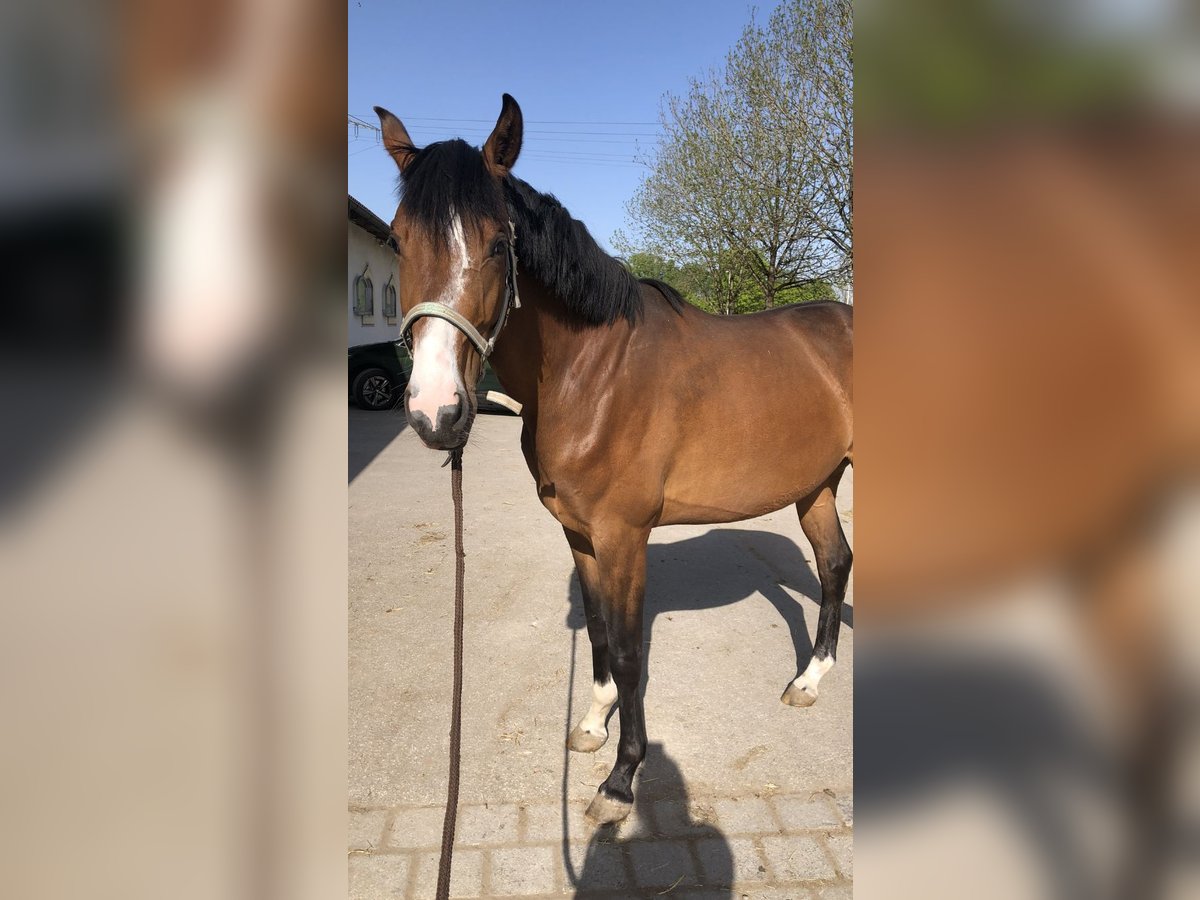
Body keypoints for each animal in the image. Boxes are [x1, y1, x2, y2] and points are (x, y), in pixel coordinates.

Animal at [374, 97, 854, 825]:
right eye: (399, 241)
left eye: (497, 243)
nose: (437, 411)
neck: (592, 374)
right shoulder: (579, 533)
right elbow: (599, 632)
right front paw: (593, 725)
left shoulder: (624, 536)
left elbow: (629, 653)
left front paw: (622, 779)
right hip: (817, 484)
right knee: (833, 565)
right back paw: (809, 679)